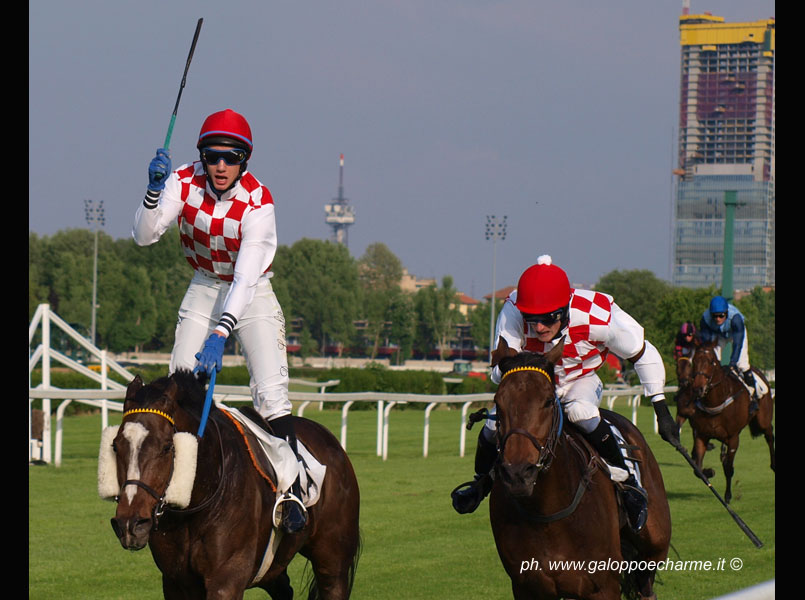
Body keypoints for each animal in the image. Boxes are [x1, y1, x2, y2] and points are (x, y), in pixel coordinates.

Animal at [101, 370, 362, 600]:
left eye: (167, 447)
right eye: (115, 445)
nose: (130, 524)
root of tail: (331, 441)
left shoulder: (226, 578)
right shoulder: (176, 582)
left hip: (333, 561)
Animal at [490, 342, 672, 600]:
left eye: (548, 401)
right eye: (498, 402)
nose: (518, 474)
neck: (547, 513)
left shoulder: (604, 586)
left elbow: (639, 351)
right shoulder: (526, 587)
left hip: (654, 543)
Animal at [684, 340, 772, 504]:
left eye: (711, 362)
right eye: (694, 361)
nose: (698, 388)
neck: (715, 402)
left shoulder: (733, 438)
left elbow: (729, 468)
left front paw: (728, 495)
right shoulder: (701, 435)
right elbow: (697, 468)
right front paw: (709, 471)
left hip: (764, 421)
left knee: (770, 437)